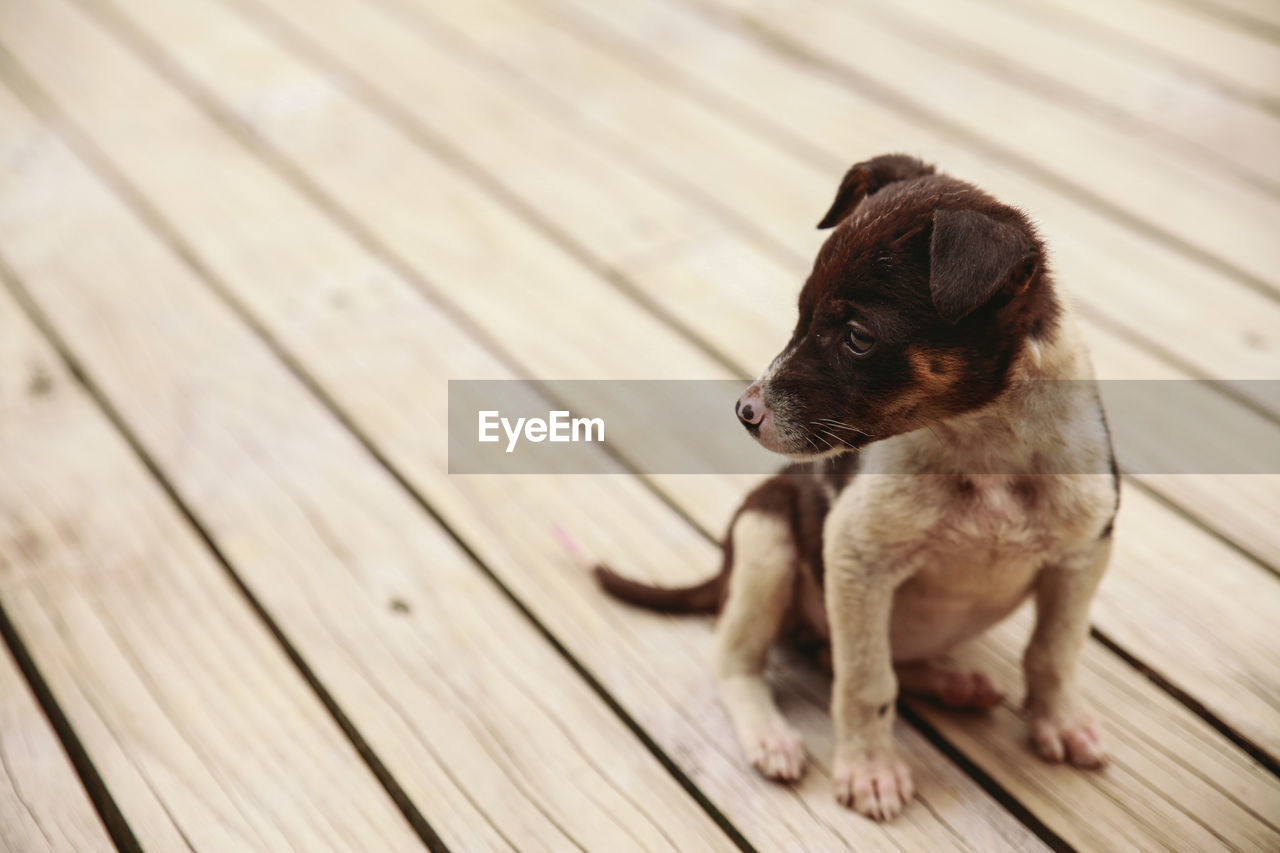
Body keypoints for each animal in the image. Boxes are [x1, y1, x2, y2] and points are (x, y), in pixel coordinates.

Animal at [593, 153, 1116, 819]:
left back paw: (952, 682)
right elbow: (866, 681)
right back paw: (770, 737)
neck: (983, 447)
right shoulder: (857, 559)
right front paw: (870, 770)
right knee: (737, 661)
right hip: (766, 540)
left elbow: (1052, 654)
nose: (744, 411)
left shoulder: (1081, 556)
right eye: (801, 314)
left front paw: (1060, 723)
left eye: (858, 337)